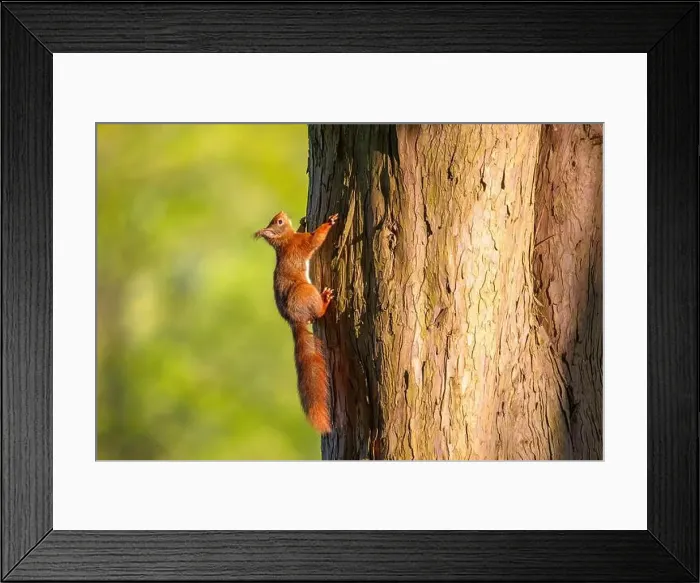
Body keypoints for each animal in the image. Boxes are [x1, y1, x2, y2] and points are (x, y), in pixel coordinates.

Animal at [254, 211, 339, 434]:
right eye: (279, 222)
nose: (282, 213)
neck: (284, 241)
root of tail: (295, 319)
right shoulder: (302, 243)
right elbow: (315, 239)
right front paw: (328, 222)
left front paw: (302, 222)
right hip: (306, 291)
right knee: (318, 312)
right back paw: (325, 301)